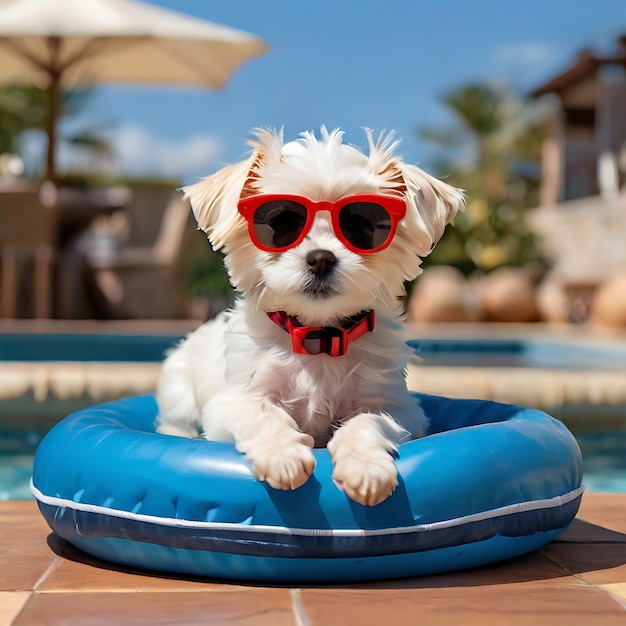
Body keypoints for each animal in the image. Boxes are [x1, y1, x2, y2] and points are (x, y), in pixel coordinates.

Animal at [156, 127, 458, 502]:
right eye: (282, 223)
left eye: (362, 226)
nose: (321, 258)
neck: (319, 337)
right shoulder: (231, 401)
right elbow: (261, 412)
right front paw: (283, 455)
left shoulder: (397, 407)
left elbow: (367, 422)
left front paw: (365, 467)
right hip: (178, 388)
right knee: (175, 421)